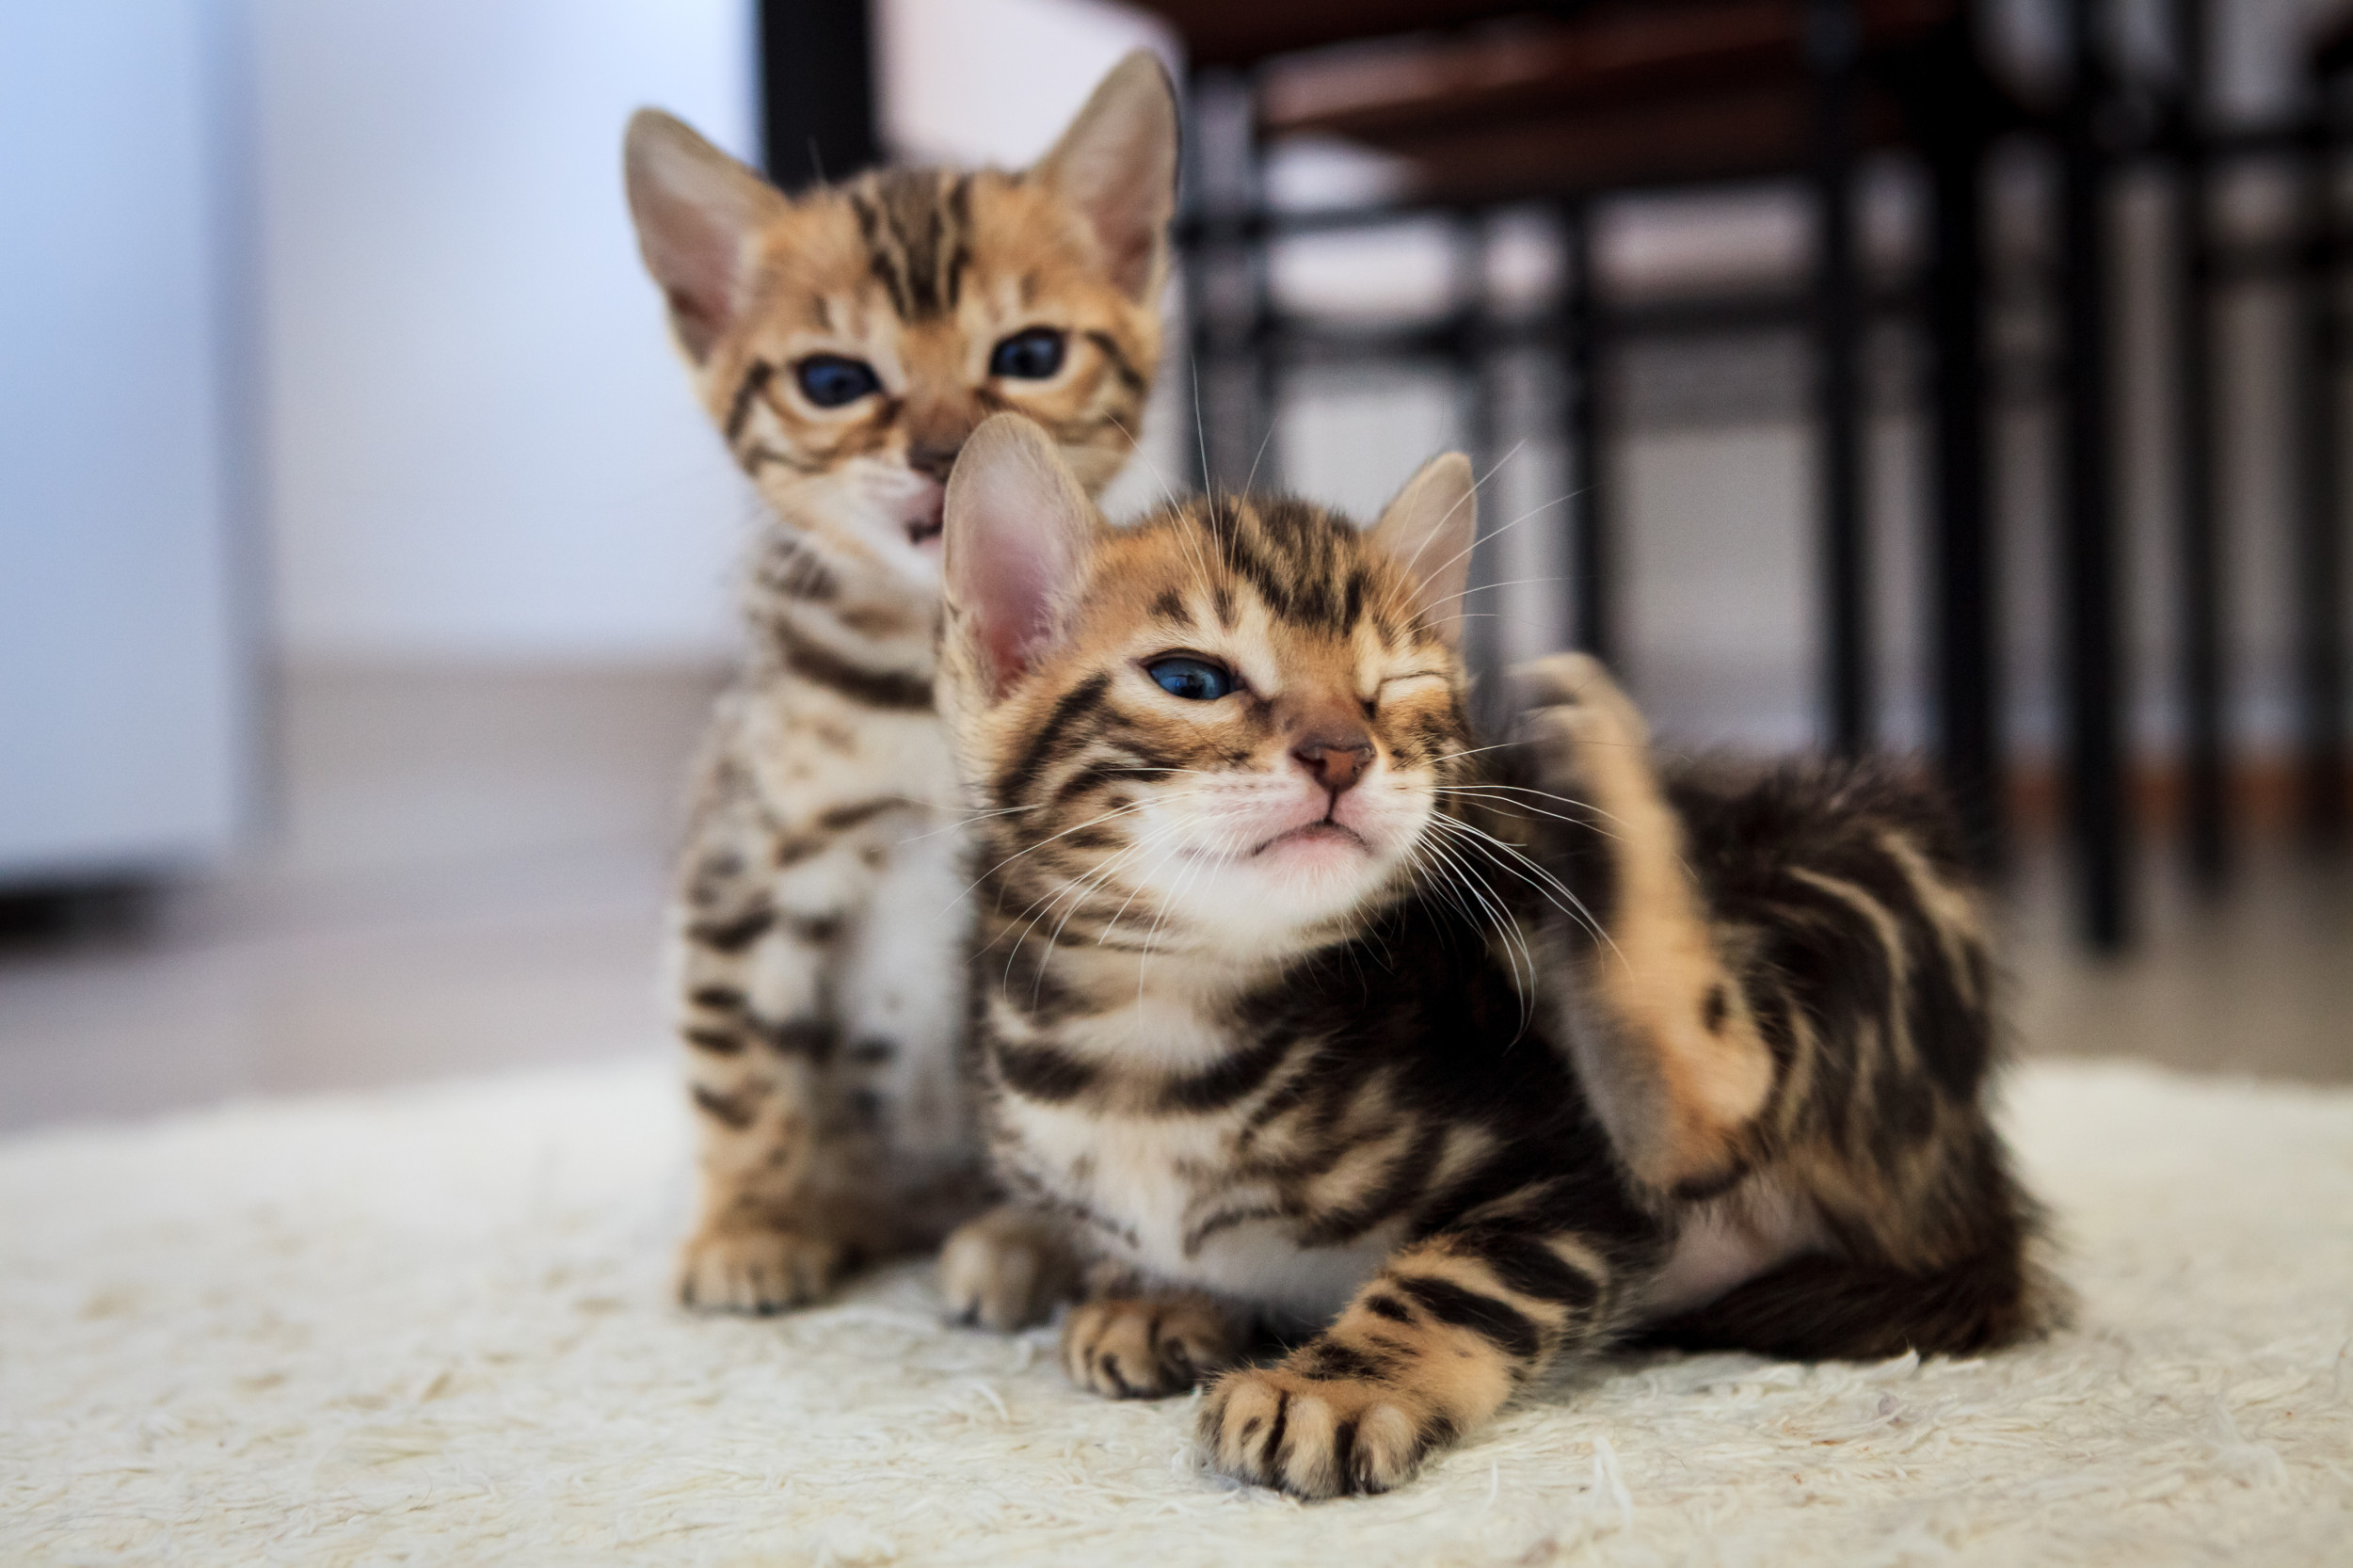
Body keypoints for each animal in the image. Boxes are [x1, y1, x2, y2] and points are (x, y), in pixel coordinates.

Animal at [621, 57, 1176, 1308]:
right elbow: (741, 1066)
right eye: (834, 380)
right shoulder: (745, 867)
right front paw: (749, 1221)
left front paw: (1038, 1238)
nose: (938, 450)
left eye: (1028, 356)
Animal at [927, 411, 2071, 1487]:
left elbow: (1459, 1279)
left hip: (1867, 864)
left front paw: (1334, 1386)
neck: (1159, 1021)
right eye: (1190, 680)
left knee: (1719, 1112)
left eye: (1397, 686)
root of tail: (1986, 1205)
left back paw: (1606, 817)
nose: (1342, 752)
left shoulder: (1573, 1178)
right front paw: (1148, 1292)